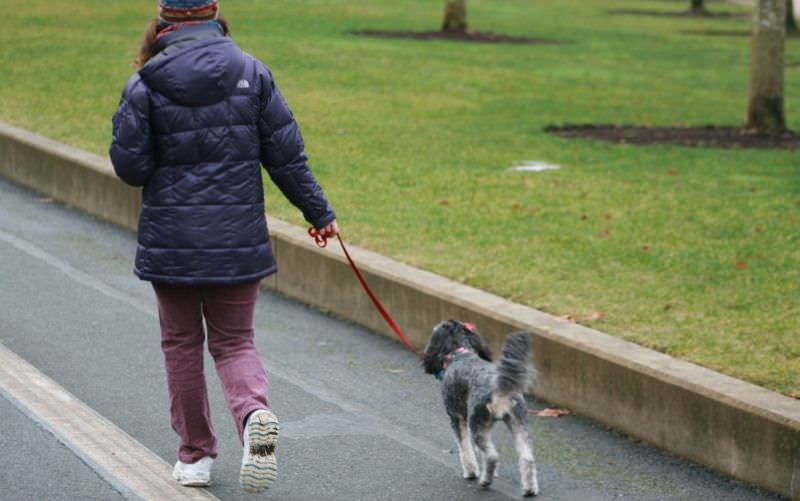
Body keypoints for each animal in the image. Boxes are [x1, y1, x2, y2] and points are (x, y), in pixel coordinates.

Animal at [422, 320, 540, 496]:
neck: (459, 353)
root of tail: (500, 388)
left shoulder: (457, 418)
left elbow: (465, 448)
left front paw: (471, 471)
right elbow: (478, 451)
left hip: (477, 423)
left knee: (492, 456)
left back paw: (485, 480)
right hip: (518, 424)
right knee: (527, 458)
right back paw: (530, 488)